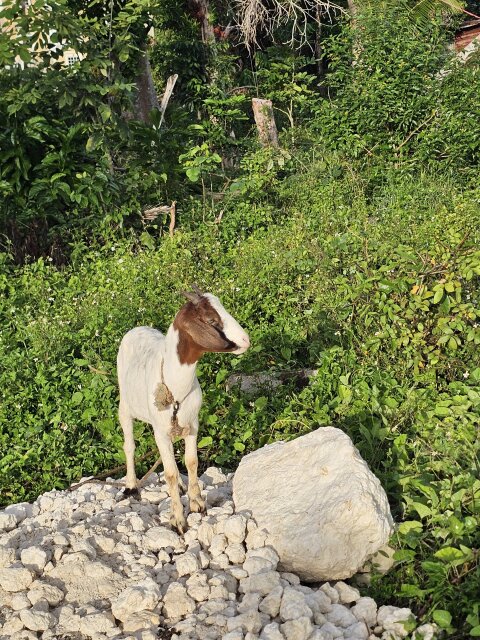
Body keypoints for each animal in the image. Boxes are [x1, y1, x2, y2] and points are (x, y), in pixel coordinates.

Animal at [117, 287, 250, 533]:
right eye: (211, 320)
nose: (246, 340)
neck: (175, 386)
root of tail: (137, 328)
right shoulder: (160, 430)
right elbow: (168, 472)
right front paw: (177, 519)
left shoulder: (192, 424)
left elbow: (191, 461)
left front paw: (197, 503)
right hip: (125, 404)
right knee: (129, 445)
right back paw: (131, 485)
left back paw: (179, 484)